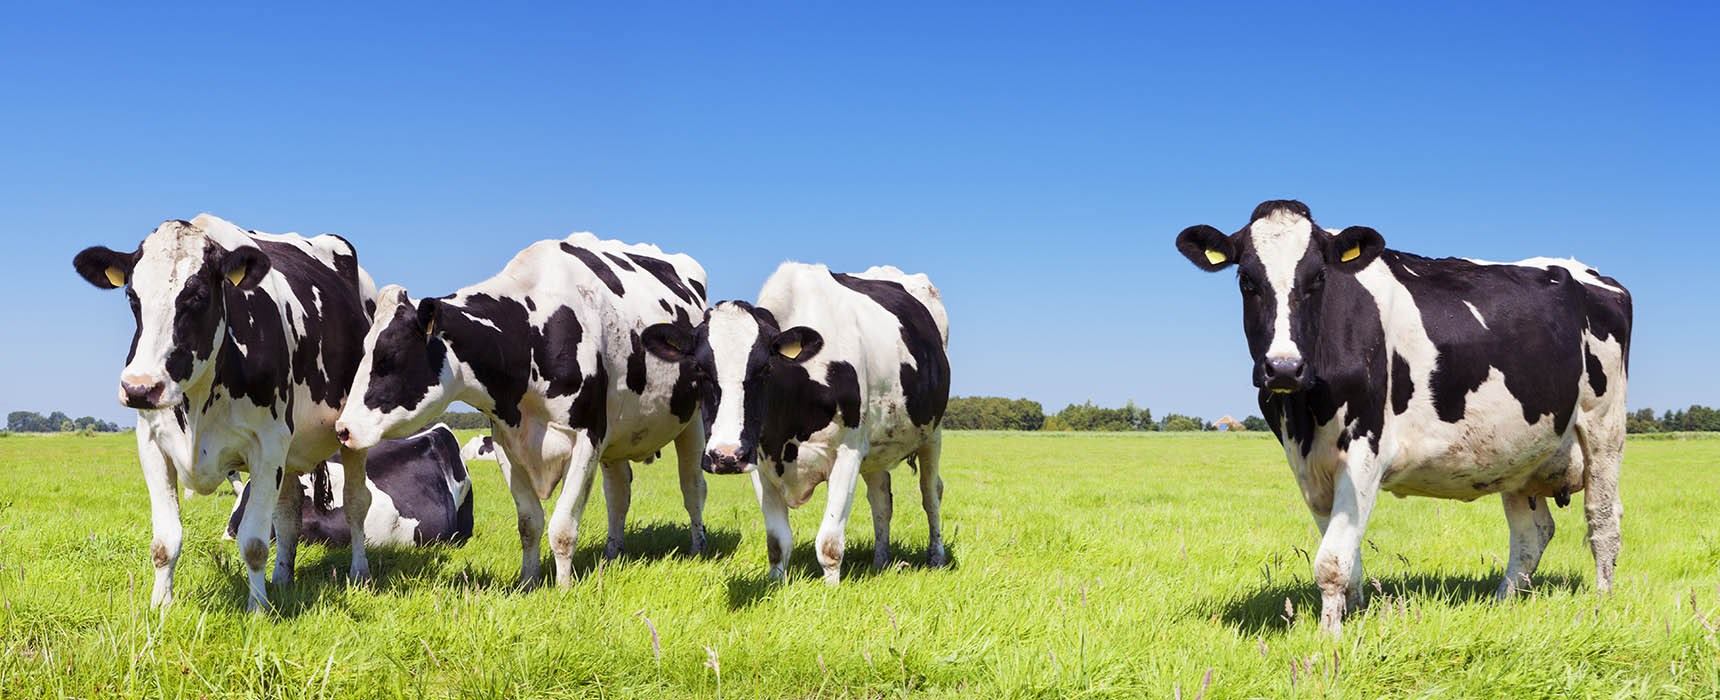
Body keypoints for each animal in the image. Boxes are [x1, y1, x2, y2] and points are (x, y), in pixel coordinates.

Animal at [73, 214, 378, 611]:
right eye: (132, 296)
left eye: (198, 296)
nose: (140, 388)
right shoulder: (152, 443)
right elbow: (164, 541)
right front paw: (160, 607)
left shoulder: (267, 444)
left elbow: (254, 543)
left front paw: (258, 610)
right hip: (289, 451)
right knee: (288, 513)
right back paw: (282, 578)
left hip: (352, 434)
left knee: (356, 502)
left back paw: (359, 573)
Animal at [333, 233, 710, 588]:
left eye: (388, 358)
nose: (343, 429)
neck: (532, 333)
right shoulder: (507, 441)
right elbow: (529, 522)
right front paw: (528, 582)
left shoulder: (587, 436)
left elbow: (562, 527)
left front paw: (563, 589)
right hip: (618, 435)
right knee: (618, 493)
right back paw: (612, 553)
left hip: (692, 422)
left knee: (692, 487)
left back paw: (697, 548)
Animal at [641, 263, 951, 584]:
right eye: (699, 369)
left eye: (765, 368)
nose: (725, 456)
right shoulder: (759, 459)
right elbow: (777, 541)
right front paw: (776, 583)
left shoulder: (849, 452)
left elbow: (829, 543)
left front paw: (832, 589)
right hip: (876, 450)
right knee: (881, 500)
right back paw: (880, 561)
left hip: (933, 434)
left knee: (931, 493)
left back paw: (936, 557)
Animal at [1174, 200, 1631, 635]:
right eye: (1246, 280)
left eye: (1318, 278)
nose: (1283, 368)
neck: (1305, 412)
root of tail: (1589, 272)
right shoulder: (1305, 465)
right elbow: (1347, 555)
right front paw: (1352, 615)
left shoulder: (1365, 448)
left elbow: (1331, 561)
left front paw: (1328, 640)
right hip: (1520, 453)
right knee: (1531, 533)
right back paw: (1501, 603)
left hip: (1604, 426)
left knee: (1603, 520)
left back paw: (1602, 603)